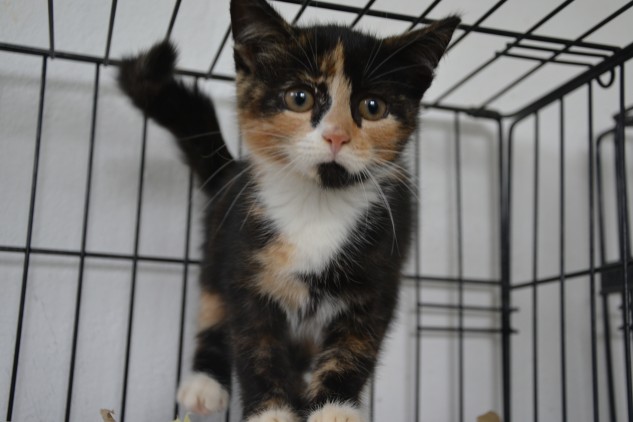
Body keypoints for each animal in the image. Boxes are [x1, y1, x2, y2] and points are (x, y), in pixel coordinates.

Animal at [118, 0, 459, 420]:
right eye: (300, 98)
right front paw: (272, 412)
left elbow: (353, 349)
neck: (316, 204)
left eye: (372, 107)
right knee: (212, 307)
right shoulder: (246, 268)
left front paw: (334, 408)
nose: (336, 136)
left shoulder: (378, 276)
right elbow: (256, 348)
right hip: (217, 246)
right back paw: (204, 382)